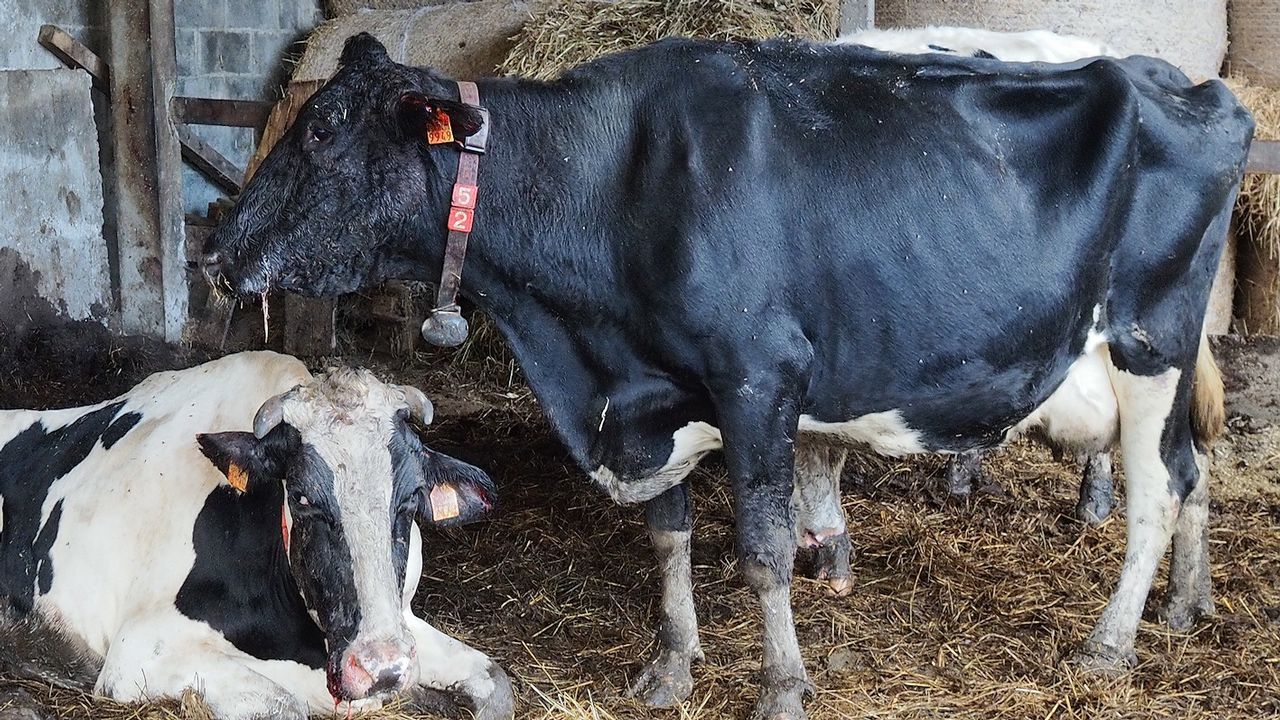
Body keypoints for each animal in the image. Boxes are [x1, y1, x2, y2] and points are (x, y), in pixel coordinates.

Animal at [0, 351, 509, 712]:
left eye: (412, 499)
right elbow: (286, 704)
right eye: (301, 498)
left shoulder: (400, 620)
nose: (381, 668)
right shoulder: (135, 654)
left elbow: (496, 683)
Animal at [197, 36, 1249, 717]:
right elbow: (670, 537)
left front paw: (781, 688)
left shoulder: (758, 378)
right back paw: (1187, 607)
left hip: (1150, 339)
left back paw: (1111, 643)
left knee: (1157, 489)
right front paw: (671, 668)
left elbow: (764, 549)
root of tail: (1195, 86)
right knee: (1193, 472)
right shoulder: (651, 399)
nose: (220, 247)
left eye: (324, 132)